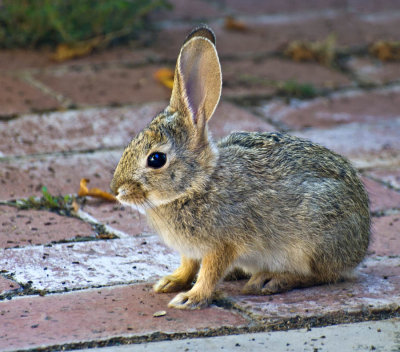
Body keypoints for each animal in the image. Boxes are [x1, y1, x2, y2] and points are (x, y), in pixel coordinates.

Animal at [108, 24, 368, 310]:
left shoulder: (223, 243)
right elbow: (188, 266)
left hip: (313, 243)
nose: (116, 190)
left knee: (321, 275)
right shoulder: (191, 250)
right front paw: (171, 282)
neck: (197, 185)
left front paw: (191, 298)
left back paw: (269, 280)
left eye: (156, 159)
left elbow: (210, 272)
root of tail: (362, 242)